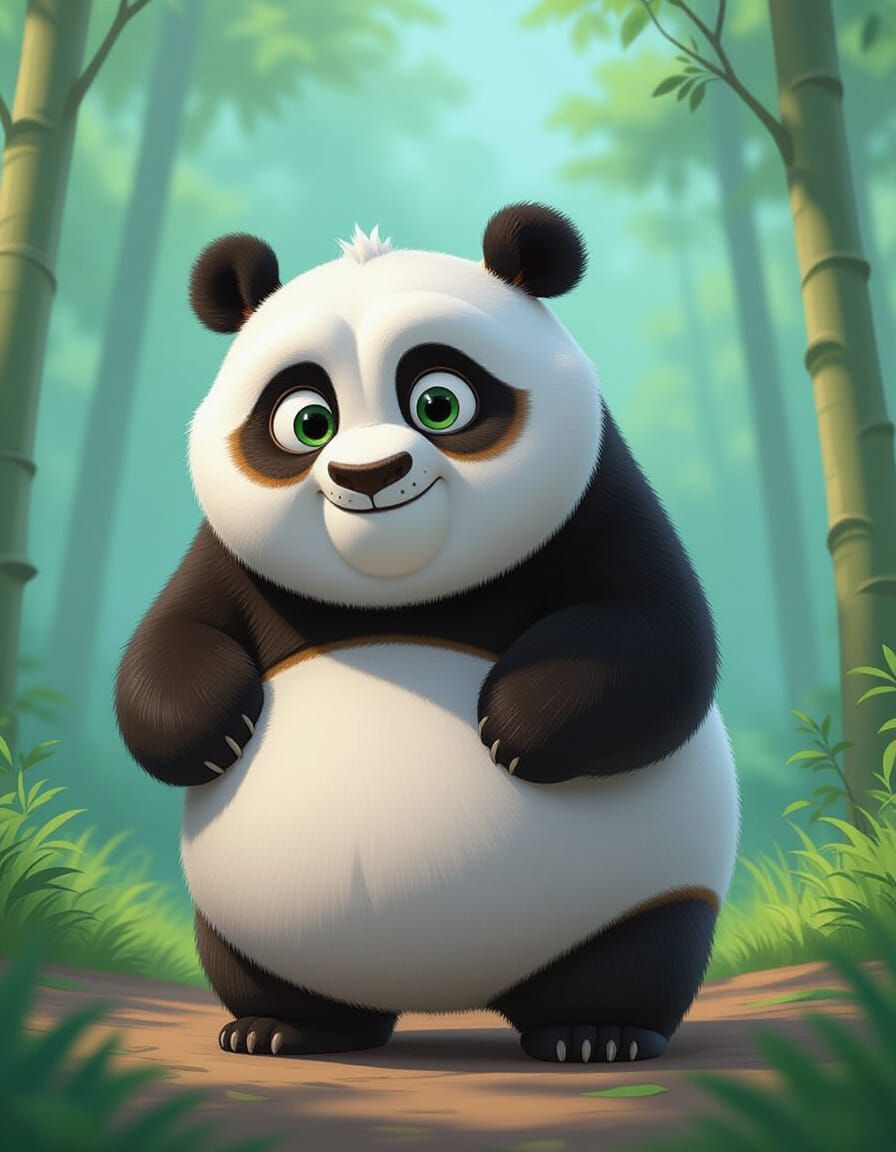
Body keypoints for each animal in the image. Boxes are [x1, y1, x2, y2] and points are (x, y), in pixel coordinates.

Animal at [115, 203, 739, 1065]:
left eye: (439, 404)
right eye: (308, 421)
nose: (368, 476)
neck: (398, 593)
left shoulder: (601, 506)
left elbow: (659, 640)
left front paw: (513, 728)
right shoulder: (228, 558)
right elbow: (167, 642)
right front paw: (215, 736)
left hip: (643, 895)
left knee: (639, 955)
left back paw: (595, 1034)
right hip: (243, 928)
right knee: (266, 976)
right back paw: (281, 1029)